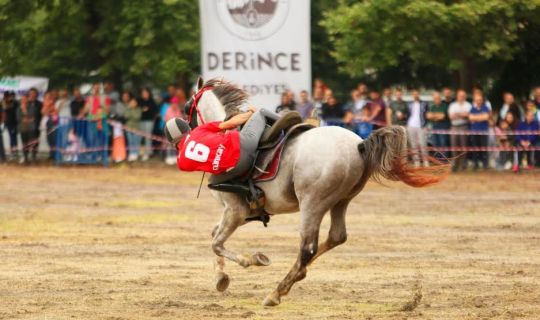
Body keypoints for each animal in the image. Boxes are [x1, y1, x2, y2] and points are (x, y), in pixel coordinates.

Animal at [182, 77, 448, 308]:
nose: (186, 128)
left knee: (308, 247)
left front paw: (251, 260)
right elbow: (214, 235)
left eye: (187, 107)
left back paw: (277, 292)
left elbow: (216, 243)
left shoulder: (235, 210)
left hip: (312, 204)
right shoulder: (245, 212)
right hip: (341, 201)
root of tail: (358, 145)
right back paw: (298, 275)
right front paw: (220, 277)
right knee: (336, 237)